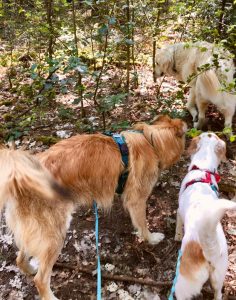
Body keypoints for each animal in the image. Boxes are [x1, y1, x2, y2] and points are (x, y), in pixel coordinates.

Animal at [0, 114, 186, 298]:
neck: (151, 141)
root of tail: (19, 179)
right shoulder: (137, 199)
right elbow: (143, 224)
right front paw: (152, 238)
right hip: (54, 233)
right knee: (40, 279)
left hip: (36, 231)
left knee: (20, 258)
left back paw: (30, 268)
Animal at [173, 132, 236, 298]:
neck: (203, 169)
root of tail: (209, 248)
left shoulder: (179, 211)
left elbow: (178, 224)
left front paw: (177, 235)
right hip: (219, 274)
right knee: (218, 294)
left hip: (184, 283)